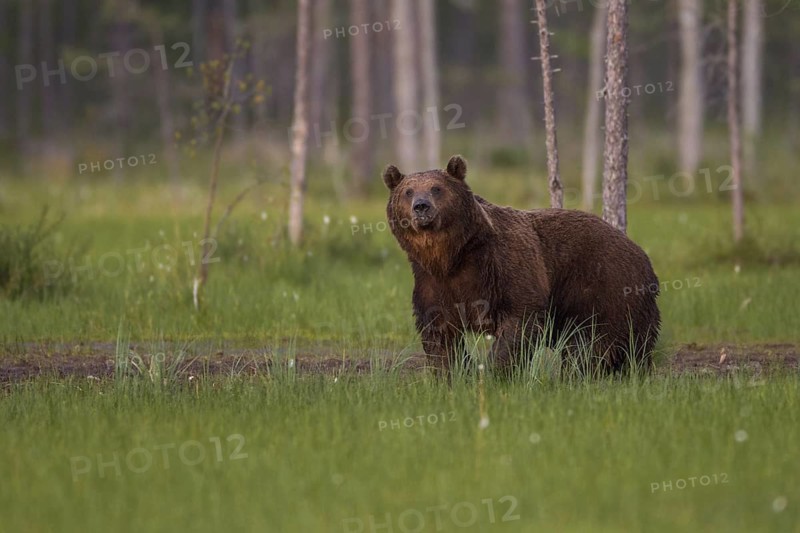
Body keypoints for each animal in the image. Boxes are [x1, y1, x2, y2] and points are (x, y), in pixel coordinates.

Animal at [383, 154, 661, 376]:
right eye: (408, 191)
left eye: (436, 188)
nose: (421, 206)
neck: (451, 256)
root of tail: (640, 252)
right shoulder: (432, 281)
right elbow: (440, 333)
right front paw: (452, 374)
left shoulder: (504, 268)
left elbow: (519, 321)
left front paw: (496, 372)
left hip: (606, 288)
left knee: (599, 341)